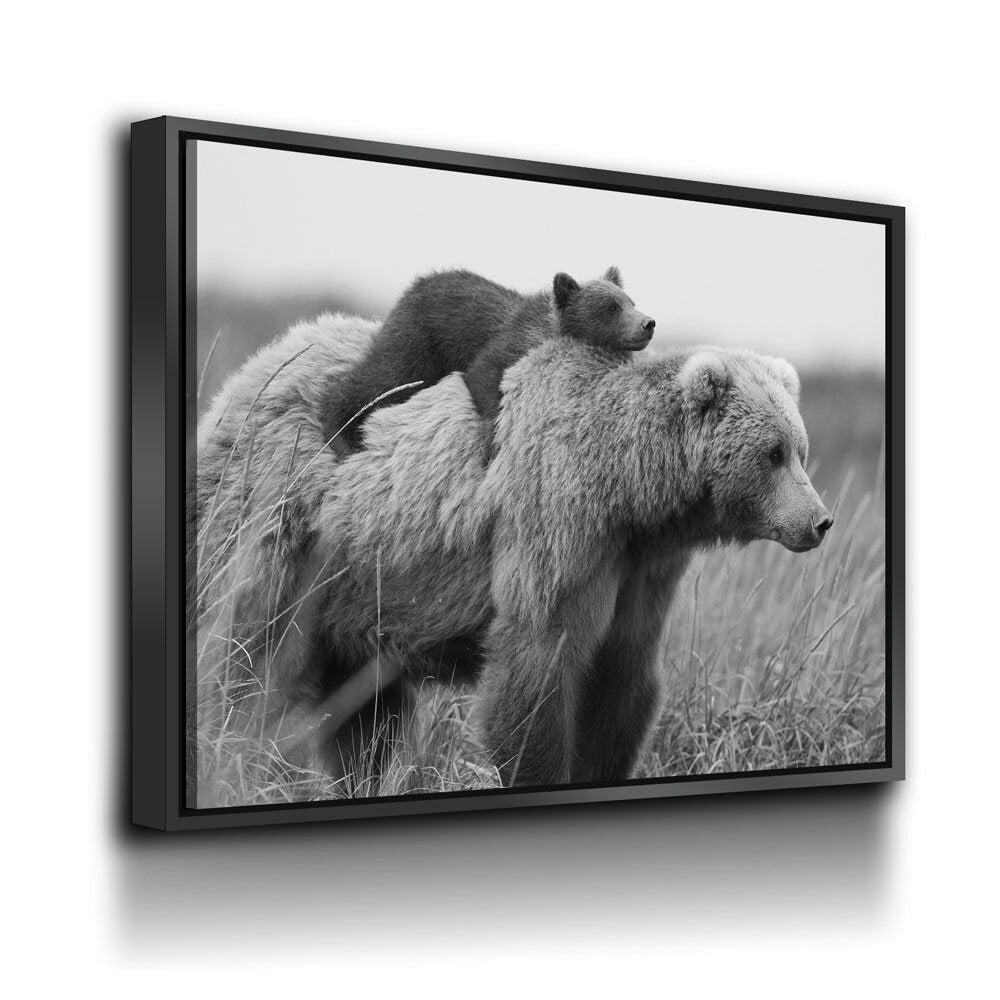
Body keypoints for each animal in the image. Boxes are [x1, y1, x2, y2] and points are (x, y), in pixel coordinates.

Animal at [193, 312, 831, 798]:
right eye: (773, 453)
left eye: (799, 448)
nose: (820, 520)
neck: (632, 492)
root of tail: (243, 379)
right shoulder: (557, 524)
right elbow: (537, 665)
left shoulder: (641, 569)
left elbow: (622, 680)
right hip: (278, 524)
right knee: (242, 661)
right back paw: (226, 753)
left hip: (354, 596)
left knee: (365, 716)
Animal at [318, 266, 655, 456]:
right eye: (611, 307)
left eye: (630, 301)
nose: (648, 323)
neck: (550, 330)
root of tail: (415, 285)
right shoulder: (509, 344)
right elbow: (485, 376)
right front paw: (493, 443)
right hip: (419, 340)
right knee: (382, 378)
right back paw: (341, 434)